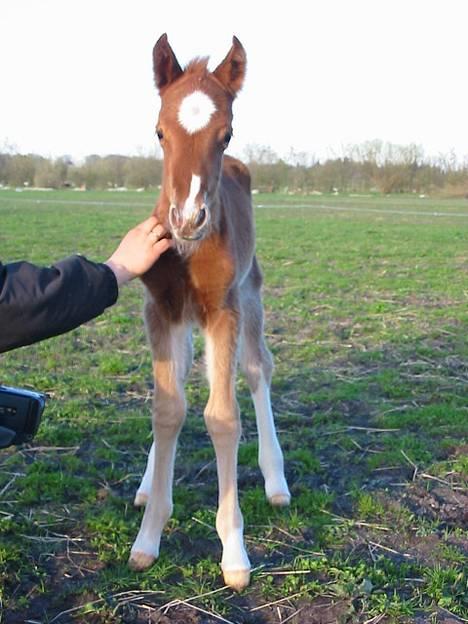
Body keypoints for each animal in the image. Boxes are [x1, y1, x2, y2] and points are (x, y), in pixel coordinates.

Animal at [128, 34, 288, 588]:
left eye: (226, 133)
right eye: (159, 131)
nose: (188, 219)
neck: (187, 252)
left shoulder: (224, 310)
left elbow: (222, 417)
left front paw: (233, 551)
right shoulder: (160, 310)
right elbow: (167, 408)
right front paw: (148, 536)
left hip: (251, 292)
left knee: (257, 369)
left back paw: (276, 478)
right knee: (178, 380)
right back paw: (147, 483)